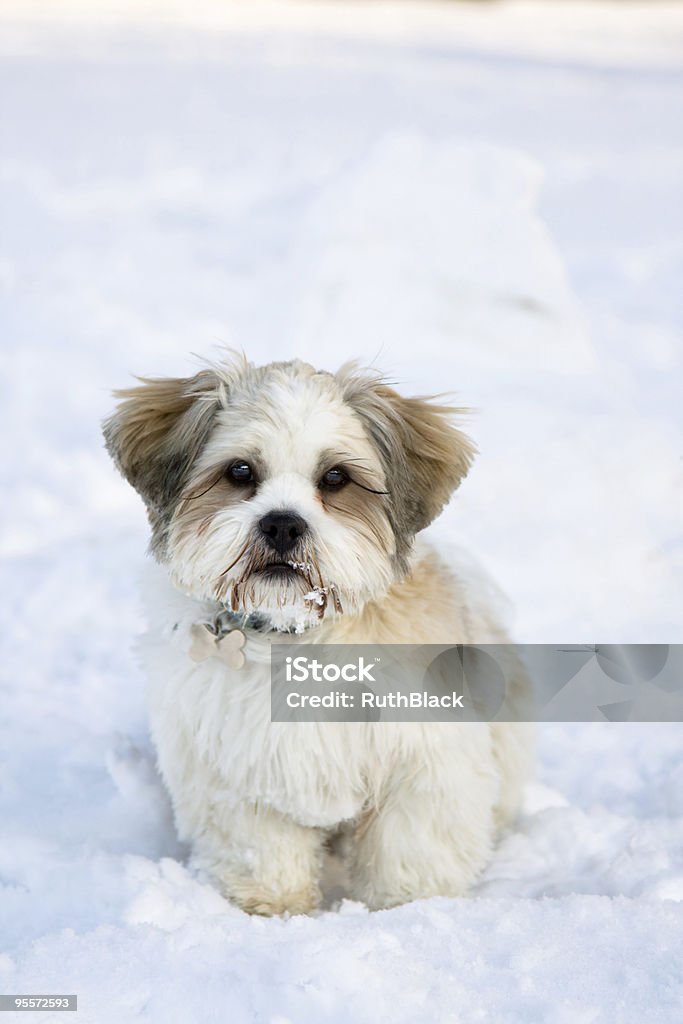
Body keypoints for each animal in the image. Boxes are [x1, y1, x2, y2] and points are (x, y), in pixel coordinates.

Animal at [102, 356, 532, 917]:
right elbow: (260, 849)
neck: (293, 635)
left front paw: (409, 909)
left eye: (335, 477)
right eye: (240, 471)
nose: (282, 524)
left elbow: (411, 848)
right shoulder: (233, 766)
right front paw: (273, 906)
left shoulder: (423, 762)